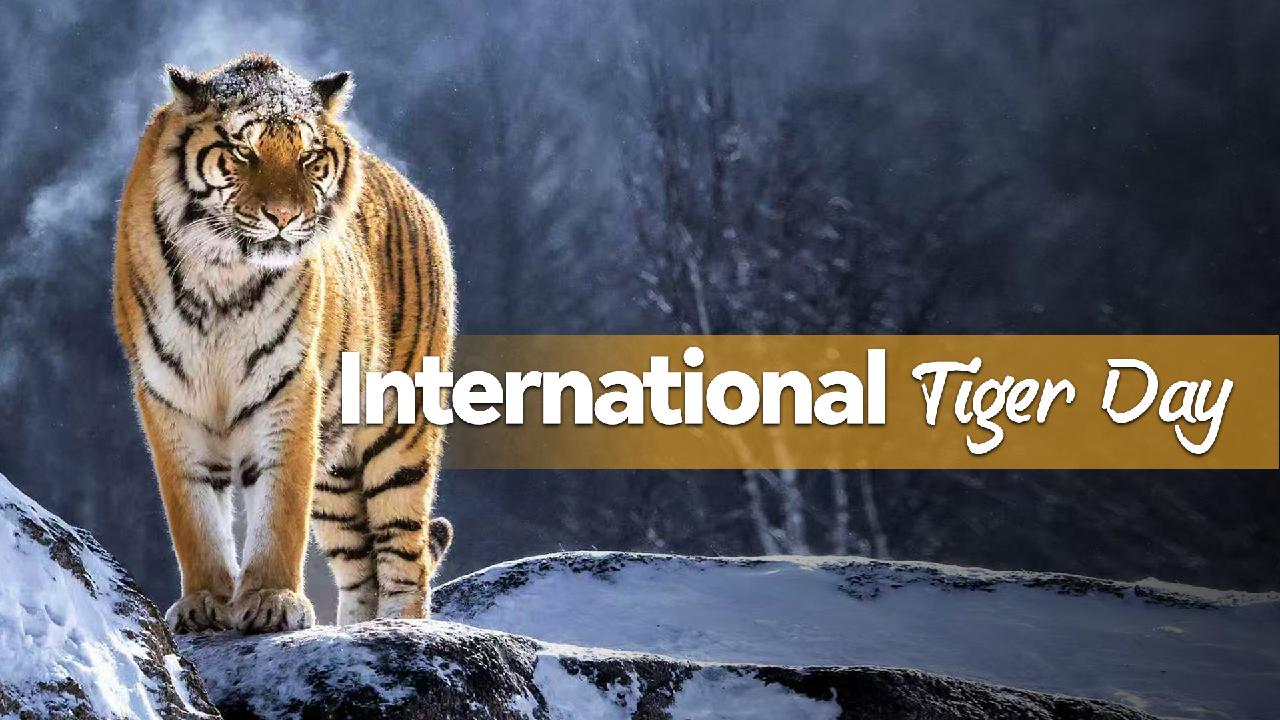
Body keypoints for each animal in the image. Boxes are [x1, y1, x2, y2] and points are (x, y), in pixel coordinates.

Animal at [112, 53, 456, 634]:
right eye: (243, 152)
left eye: (309, 156)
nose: (284, 217)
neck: (223, 275)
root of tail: (420, 197)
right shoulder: (167, 395)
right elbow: (194, 514)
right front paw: (204, 604)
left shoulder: (289, 388)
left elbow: (278, 511)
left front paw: (272, 600)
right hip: (336, 477)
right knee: (360, 568)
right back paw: (354, 630)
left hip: (399, 430)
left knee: (403, 556)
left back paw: (400, 627)